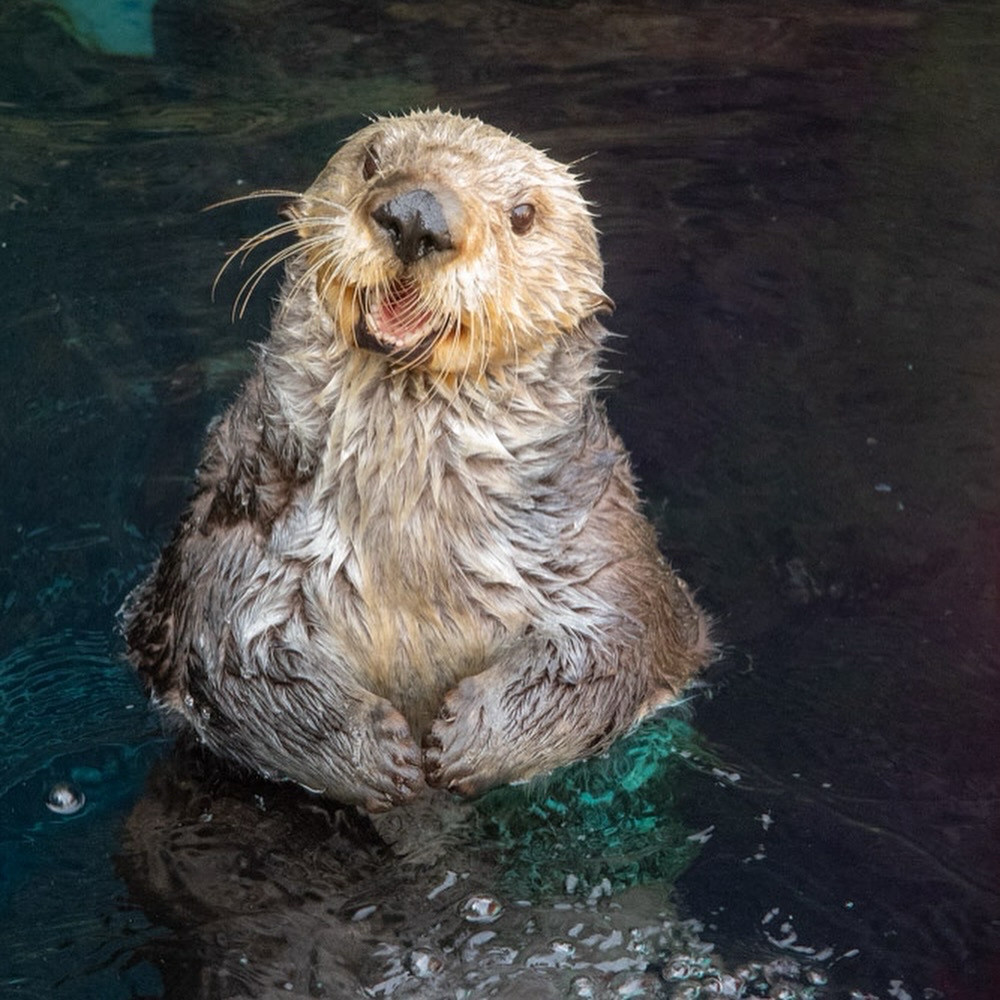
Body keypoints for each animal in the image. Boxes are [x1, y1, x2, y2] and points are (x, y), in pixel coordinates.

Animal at [121, 109, 712, 812]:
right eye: (373, 160)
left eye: (523, 214)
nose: (416, 215)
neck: (407, 532)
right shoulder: (236, 527)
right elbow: (231, 662)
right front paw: (373, 754)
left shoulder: (601, 545)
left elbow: (611, 657)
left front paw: (468, 741)